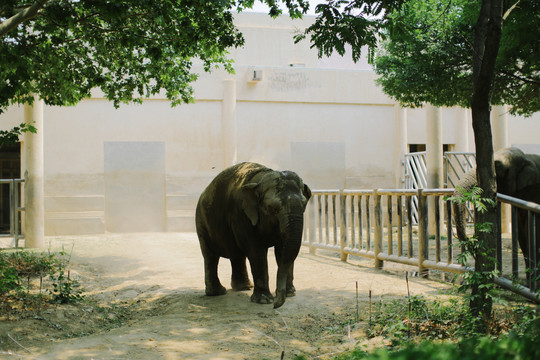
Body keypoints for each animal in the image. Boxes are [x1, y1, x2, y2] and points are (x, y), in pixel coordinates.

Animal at [196, 162, 310, 308]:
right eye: (273, 208)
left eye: (304, 205)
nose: (276, 304)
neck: (261, 177)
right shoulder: (241, 214)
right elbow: (256, 251)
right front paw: (264, 301)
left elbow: (282, 250)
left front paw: (290, 294)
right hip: (202, 223)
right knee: (210, 256)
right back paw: (217, 293)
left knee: (237, 255)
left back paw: (243, 287)